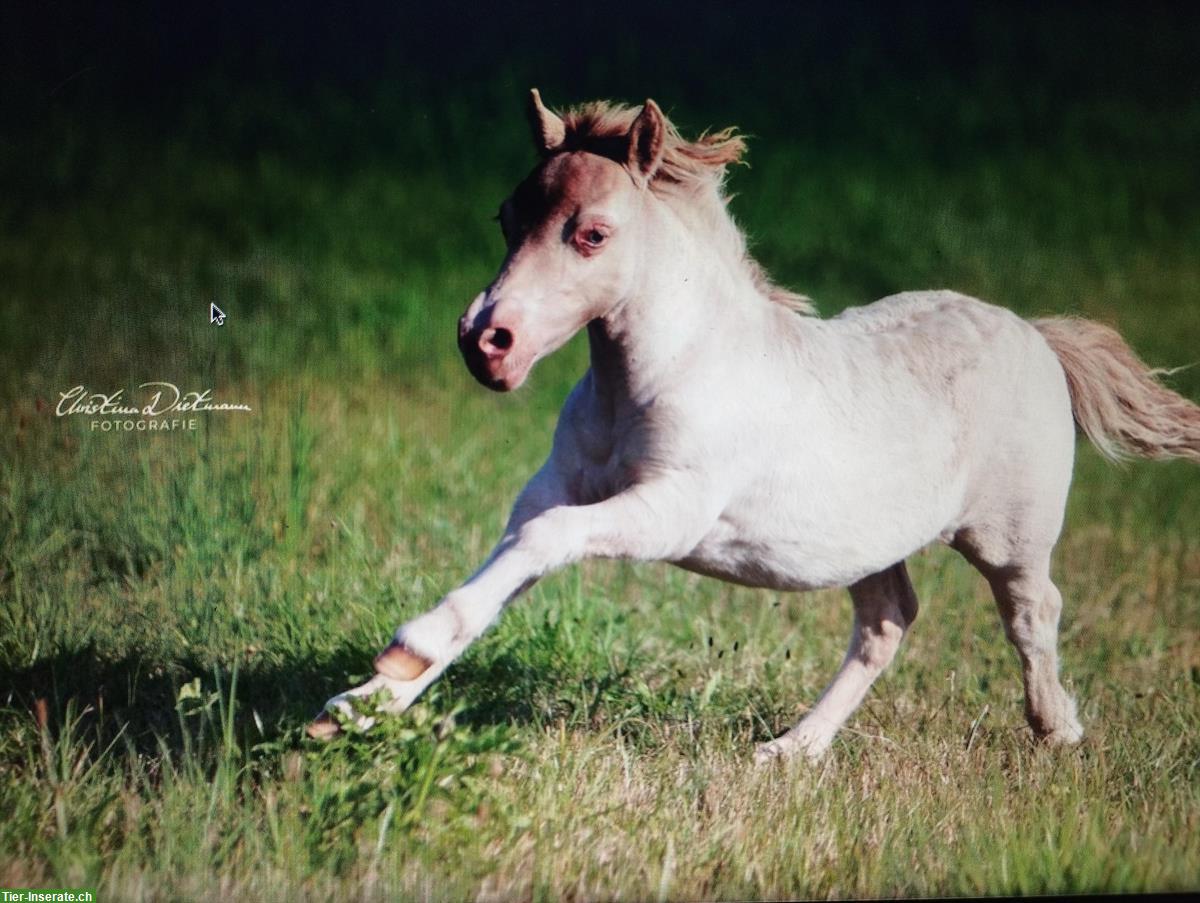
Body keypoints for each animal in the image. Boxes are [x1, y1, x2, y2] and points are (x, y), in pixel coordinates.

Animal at [308, 90, 1200, 761]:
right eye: (506, 217)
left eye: (591, 232)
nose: (485, 341)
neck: (662, 374)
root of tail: (1036, 333)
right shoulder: (557, 486)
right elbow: (510, 562)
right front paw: (361, 702)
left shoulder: (671, 510)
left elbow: (544, 541)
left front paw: (398, 658)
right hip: (867, 541)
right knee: (887, 620)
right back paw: (792, 750)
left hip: (1008, 534)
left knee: (1032, 609)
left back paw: (1057, 728)